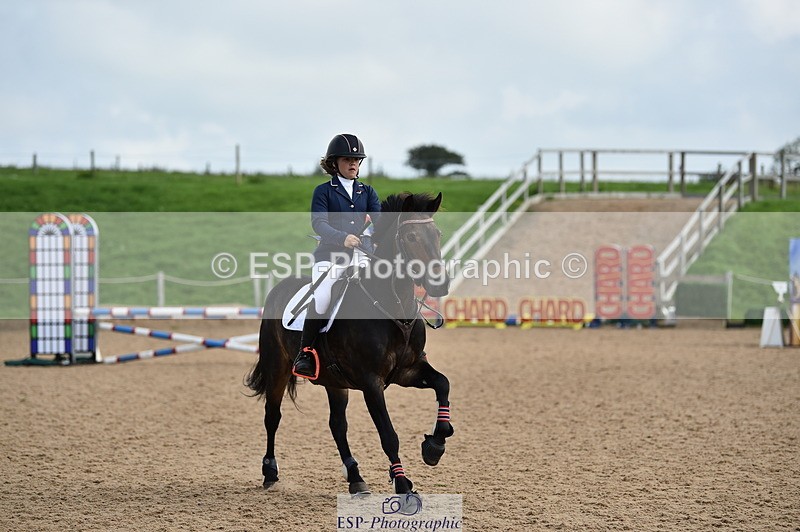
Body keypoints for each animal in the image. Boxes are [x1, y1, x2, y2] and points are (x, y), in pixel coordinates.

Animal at [246, 192, 454, 495]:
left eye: (437, 234)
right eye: (411, 236)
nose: (439, 284)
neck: (394, 305)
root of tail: (278, 288)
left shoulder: (409, 371)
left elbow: (443, 384)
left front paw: (435, 445)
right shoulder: (371, 382)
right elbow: (388, 435)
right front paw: (403, 484)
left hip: (334, 381)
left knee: (337, 425)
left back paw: (356, 477)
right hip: (277, 367)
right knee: (272, 415)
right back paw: (270, 472)